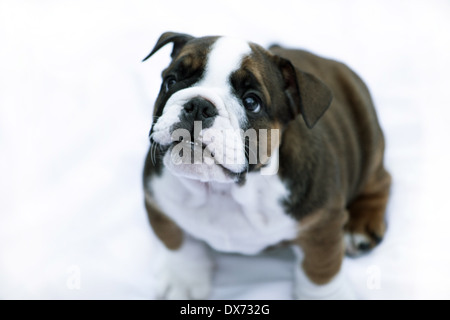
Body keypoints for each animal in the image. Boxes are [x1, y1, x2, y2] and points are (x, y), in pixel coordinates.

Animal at [142, 32, 390, 300]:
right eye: (171, 81)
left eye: (252, 102)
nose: (199, 105)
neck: (224, 190)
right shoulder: (157, 201)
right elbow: (177, 244)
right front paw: (182, 283)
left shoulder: (322, 226)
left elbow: (320, 272)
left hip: (369, 141)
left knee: (381, 180)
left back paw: (361, 227)